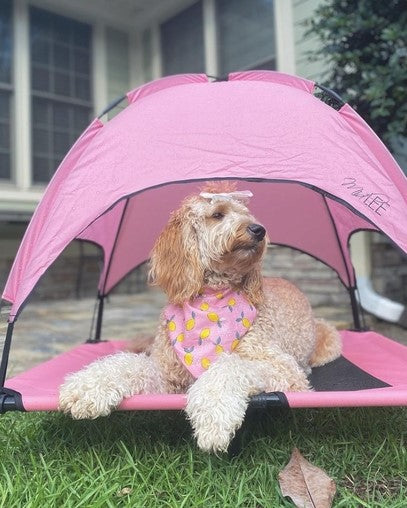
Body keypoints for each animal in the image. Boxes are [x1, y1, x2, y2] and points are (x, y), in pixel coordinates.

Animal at [59, 186, 342, 452]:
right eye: (217, 214)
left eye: (247, 213)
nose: (258, 229)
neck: (211, 297)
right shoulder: (166, 373)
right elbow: (130, 365)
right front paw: (86, 387)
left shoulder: (284, 369)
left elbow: (231, 366)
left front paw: (213, 418)